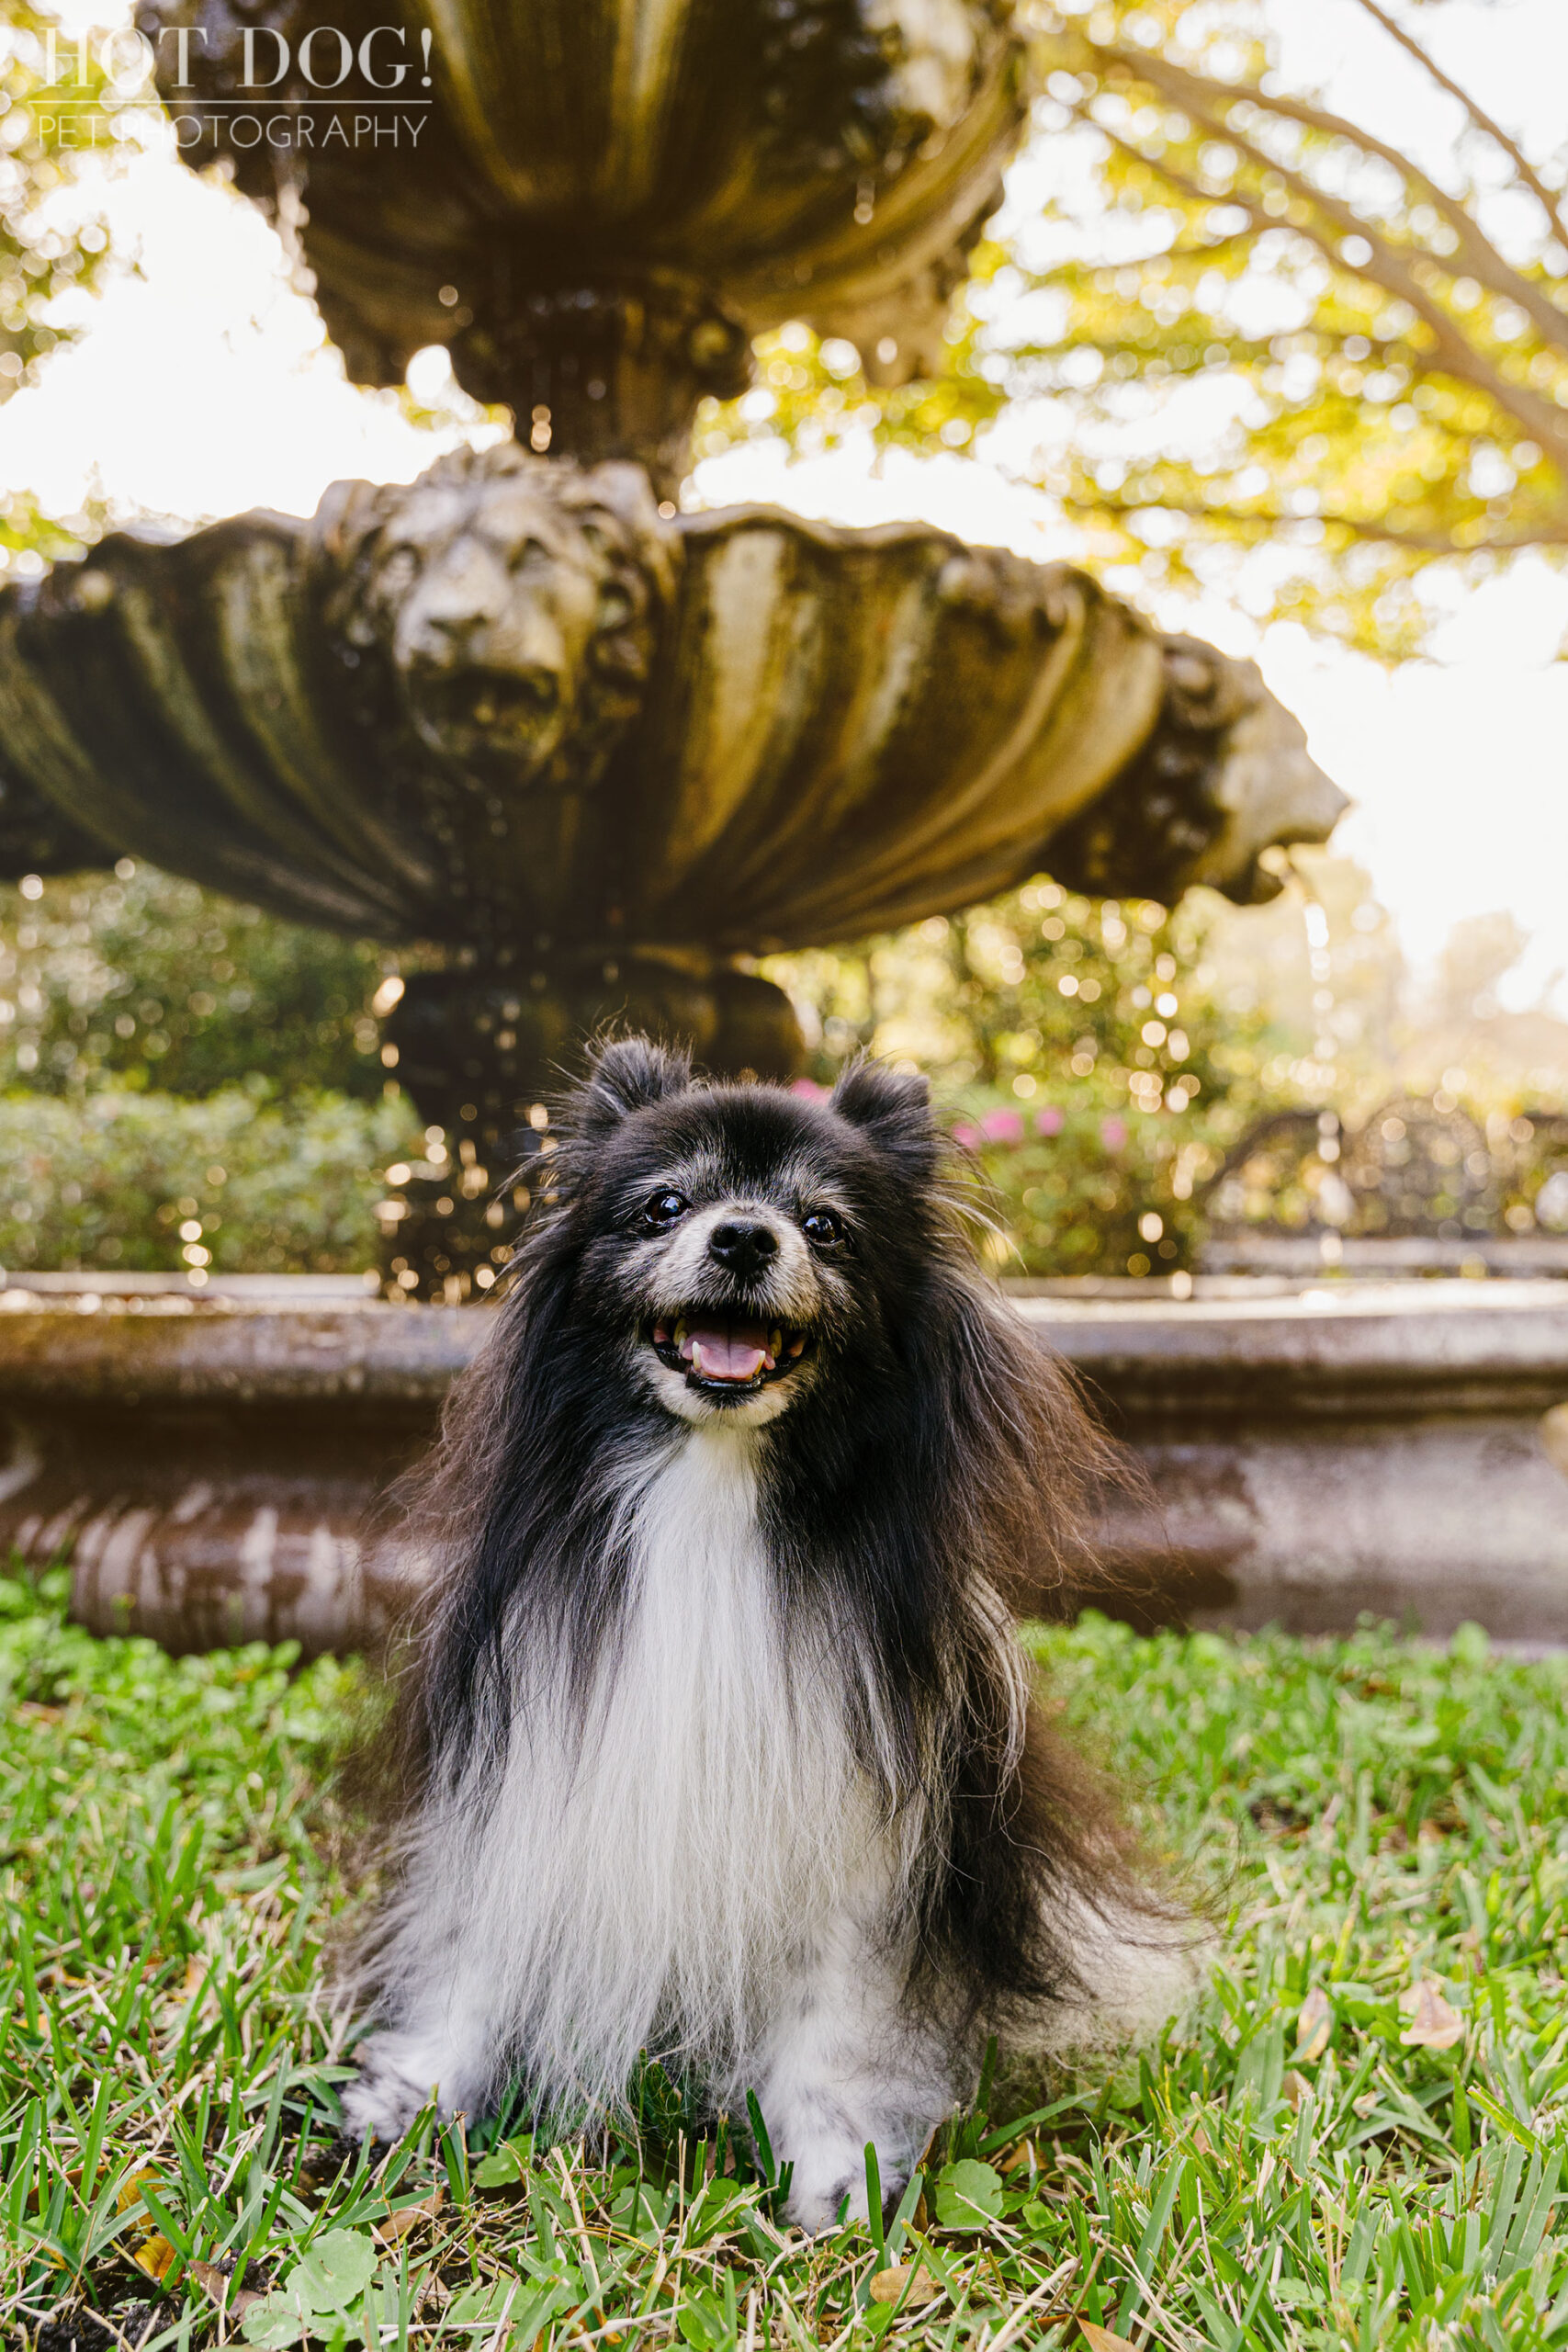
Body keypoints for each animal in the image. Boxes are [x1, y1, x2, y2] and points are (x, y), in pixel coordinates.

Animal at [343, 1044, 1194, 2220]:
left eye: (827, 1225)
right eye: (663, 1206)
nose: (745, 1236)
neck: (714, 1483)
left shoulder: (865, 1827)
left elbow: (841, 2019)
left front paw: (839, 2167)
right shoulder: (529, 1767)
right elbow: (475, 1951)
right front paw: (418, 2096)